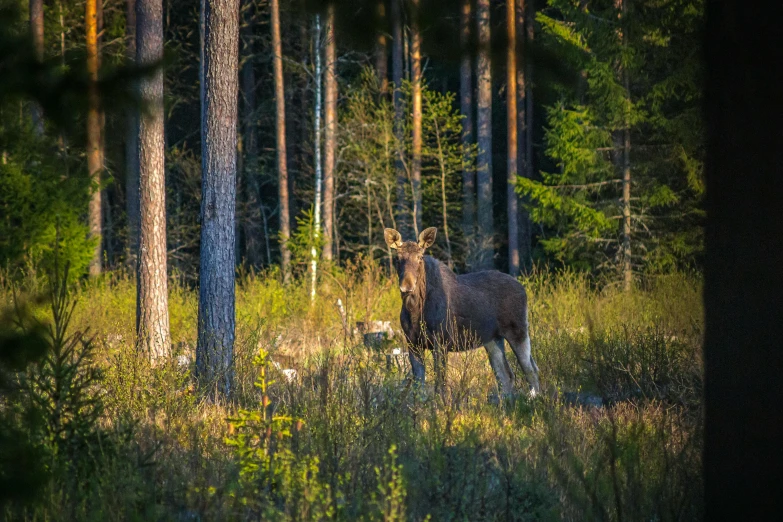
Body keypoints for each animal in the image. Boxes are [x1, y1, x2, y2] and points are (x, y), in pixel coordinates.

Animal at [384, 224, 544, 394]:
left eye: (420, 257)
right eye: (397, 258)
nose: (407, 285)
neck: (415, 310)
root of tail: (523, 288)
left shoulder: (440, 343)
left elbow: (440, 385)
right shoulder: (413, 344)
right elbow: (419, 386)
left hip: (518, 330)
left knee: (531, 369)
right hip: (493, 339)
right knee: (506, 375)